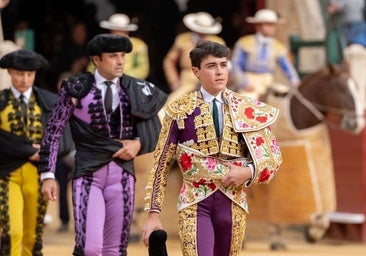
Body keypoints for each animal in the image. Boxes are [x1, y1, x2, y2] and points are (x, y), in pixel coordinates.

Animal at [247, 60, 364, 250]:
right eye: (341, 88)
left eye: (356, 86)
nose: (358, 123)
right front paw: (277, 237)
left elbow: (323, 212)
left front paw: (312, 233)